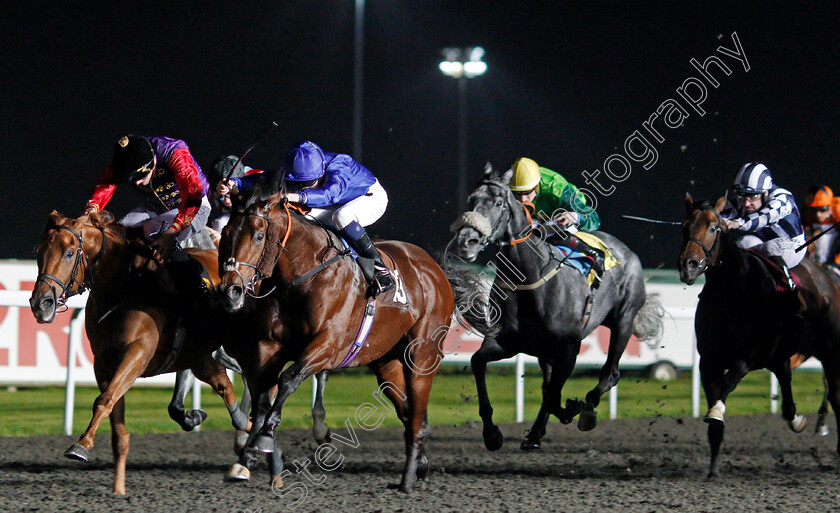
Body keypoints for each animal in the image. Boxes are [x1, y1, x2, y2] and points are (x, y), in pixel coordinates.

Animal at [27, 211, 272, 492]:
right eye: (38, 251)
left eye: (69, 253)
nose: (41, 304)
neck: (124, 288)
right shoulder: (104, 361)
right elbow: (114, 413)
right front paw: (117, 485)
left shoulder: (138, 353)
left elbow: (104, 400)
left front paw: (82, 444)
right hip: (199, 355)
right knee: (224, 384)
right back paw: (240, 429)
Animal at [217, 177, 466, 492]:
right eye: (226, 233)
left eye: (259, 236)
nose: (230, 291)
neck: (304, 275)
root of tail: (434, 269)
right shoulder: (268, 347)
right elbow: (262, 396)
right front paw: (246, 456)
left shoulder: (329, 345)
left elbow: (288, 379)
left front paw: (265, 435)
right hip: (386, 363)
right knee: (410, 413)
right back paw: (420, 465)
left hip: (422, 357)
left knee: (416, 414)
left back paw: (407, 480)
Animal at [452, 164, 664, 448]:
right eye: (471, 200)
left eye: (498, 202)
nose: (467, 241)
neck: (530, 278)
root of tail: (627, 252)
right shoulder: (507, 342)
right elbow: (478, 363)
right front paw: (492, 433)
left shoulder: (569, 347)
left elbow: (555, 395)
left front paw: (574, 409)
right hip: (545, 350)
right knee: (549, 386)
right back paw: (535, 433)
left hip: (624, 319)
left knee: (610, 373)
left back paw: (585, 410)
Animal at [680, 194, 840, 478]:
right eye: (684, 226)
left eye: (714, 228)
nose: (688, 265)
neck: (733, 292)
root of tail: (828, 278)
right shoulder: (709, 361)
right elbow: (716, 418)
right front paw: (713, 470)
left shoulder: (747, 356)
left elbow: (728, 384)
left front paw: (717, 410)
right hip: (782, 353)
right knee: (787, 383)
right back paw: (796, 419)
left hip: (829, 350)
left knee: (834, 396)